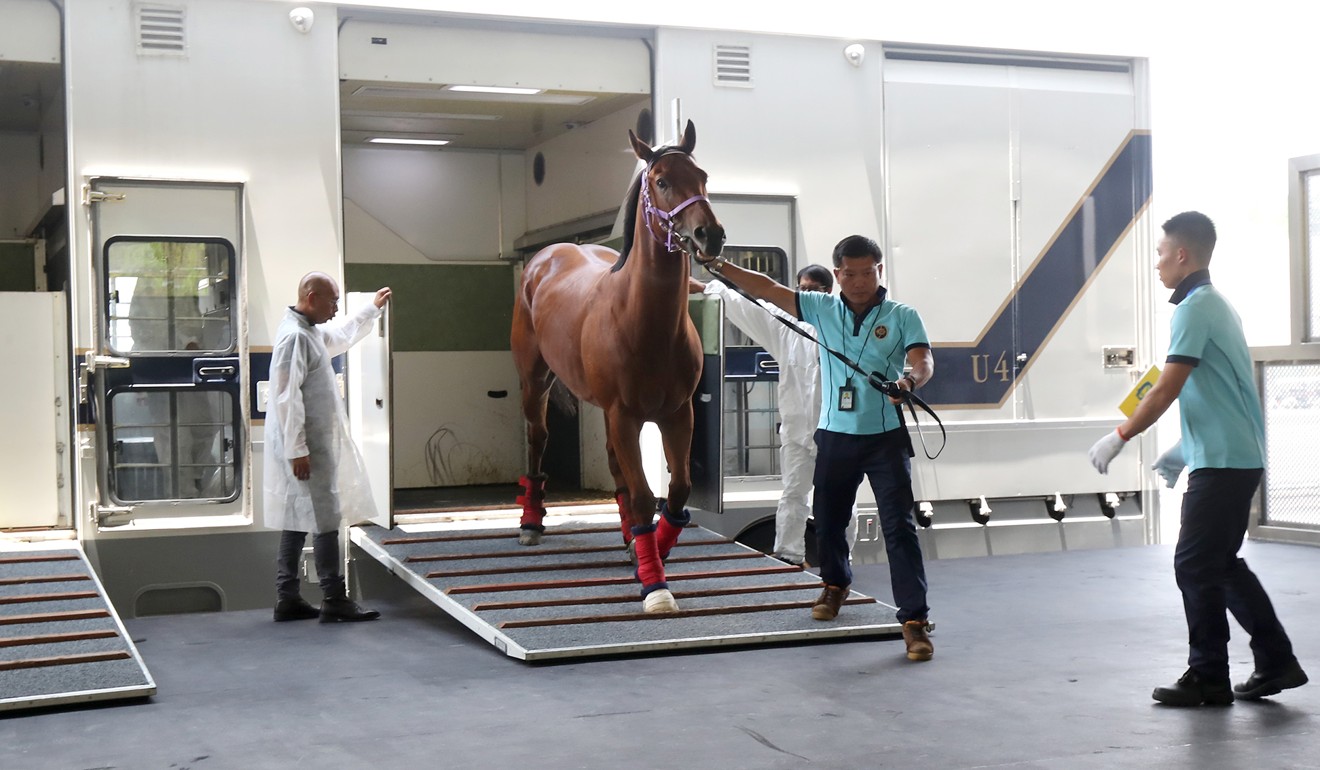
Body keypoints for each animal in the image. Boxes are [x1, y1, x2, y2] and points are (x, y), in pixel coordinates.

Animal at [509, 120, 728, 615]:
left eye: (703, 175)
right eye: (661, 181)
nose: (710, 235)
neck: (643, 322)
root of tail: (546, 255)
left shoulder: (676, 414)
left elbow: (677, 491)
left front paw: (651, 551)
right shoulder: (625, 415)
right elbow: (647, 496)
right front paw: (655, 584)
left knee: (616, 470)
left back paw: (630, 536)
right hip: (536, 381)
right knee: (538, 437)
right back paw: (531, 523)